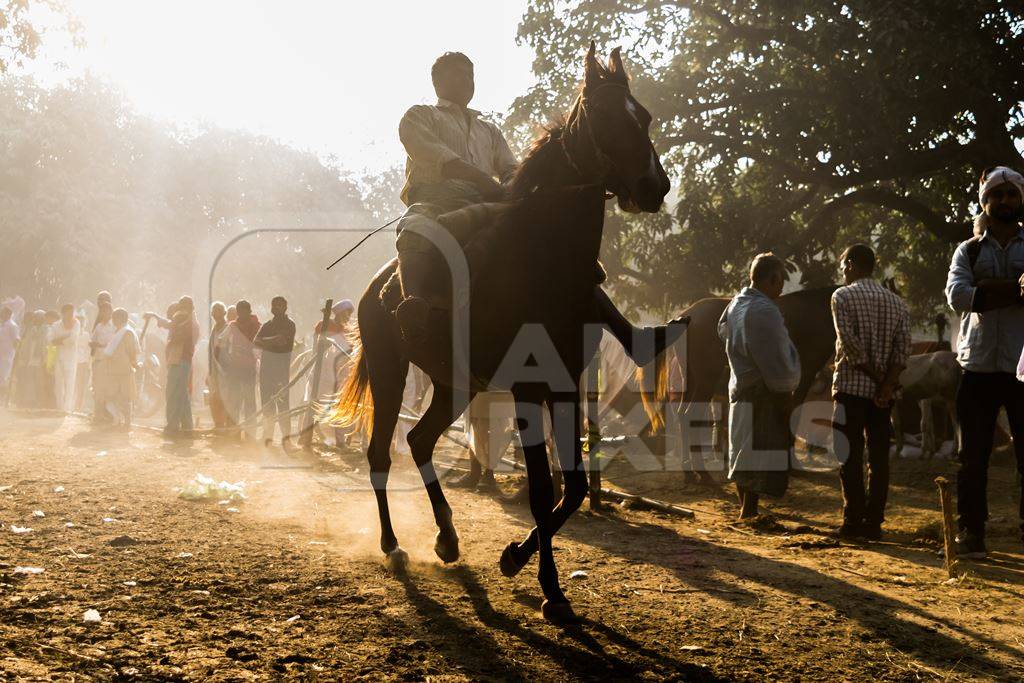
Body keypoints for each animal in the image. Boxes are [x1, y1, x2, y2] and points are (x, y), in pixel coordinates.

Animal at [331, 41, 671, 618]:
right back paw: (393, 545)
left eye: (643, 116)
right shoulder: (528, 389)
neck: (542, 261)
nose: (655, 186)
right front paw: (550, 589)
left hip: (456, 385)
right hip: (390, 369)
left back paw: (447, 538)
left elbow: (573, 487)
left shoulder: (566, 387)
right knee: (381, 452)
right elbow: (539, 490)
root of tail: (379, 286)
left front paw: (516, 559)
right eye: (604, 117)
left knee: (419, 441)